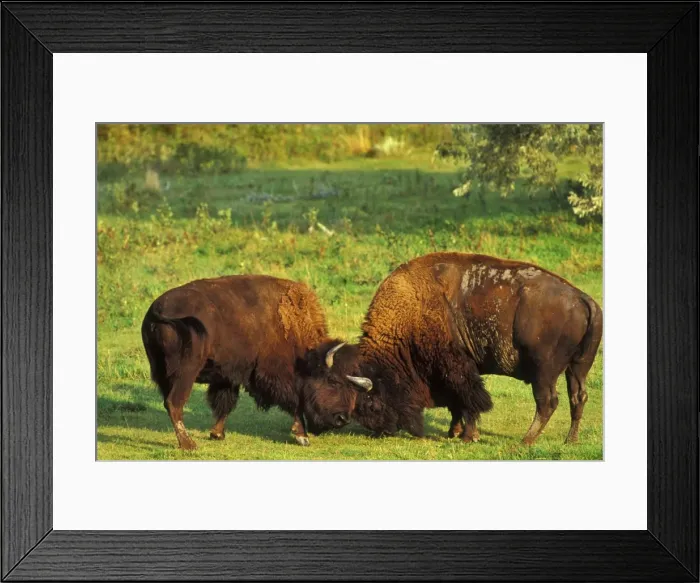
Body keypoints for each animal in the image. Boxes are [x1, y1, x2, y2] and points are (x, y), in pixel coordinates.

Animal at [141, 275, 358, 449]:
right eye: (333, 381)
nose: (343, 418)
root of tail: (158, 309)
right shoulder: (277, 375)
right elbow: (295, 402)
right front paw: (302, 437)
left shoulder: (228, 376)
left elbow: (226, 403)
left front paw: (217, 434)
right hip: (187, 371)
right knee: (174, 402)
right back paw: (189, 445)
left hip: (161, 370)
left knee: (168, 401)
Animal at [301, 252, 603, 445]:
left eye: (371, 402)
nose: (383, 431)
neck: (411, 309)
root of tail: (583, 299)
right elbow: (456, 403)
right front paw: (454, 432)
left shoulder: (457, 368)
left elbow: (469, 400)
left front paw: (468, 436)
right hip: (577, 368)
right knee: (578, 397)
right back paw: (570, 441)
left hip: (543, 372)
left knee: (548, 402)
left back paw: (525, 441)